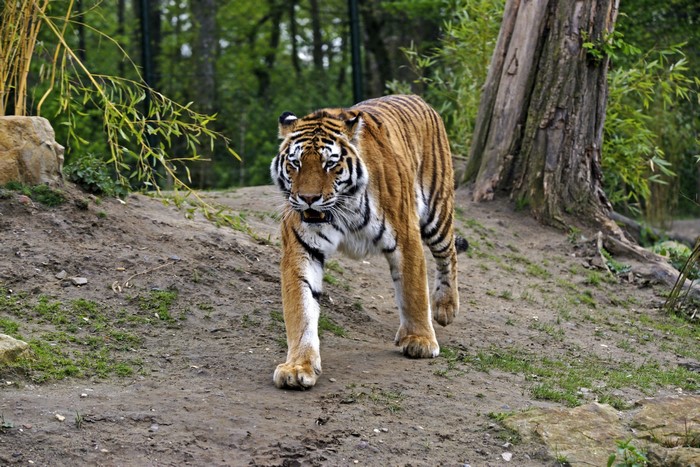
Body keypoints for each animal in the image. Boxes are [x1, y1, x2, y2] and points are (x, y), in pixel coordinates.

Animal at [270, 94, 468, 389]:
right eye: (295, 163)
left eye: (330, 164)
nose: (308, 198)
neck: (342, 207)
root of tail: (418, 98)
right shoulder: (301, 248)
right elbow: (301, 308)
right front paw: (297, 367)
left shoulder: (406, 236)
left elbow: (413, 291)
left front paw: (420, 340)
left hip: (437, 212)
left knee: (449, 255)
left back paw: (445, 308)